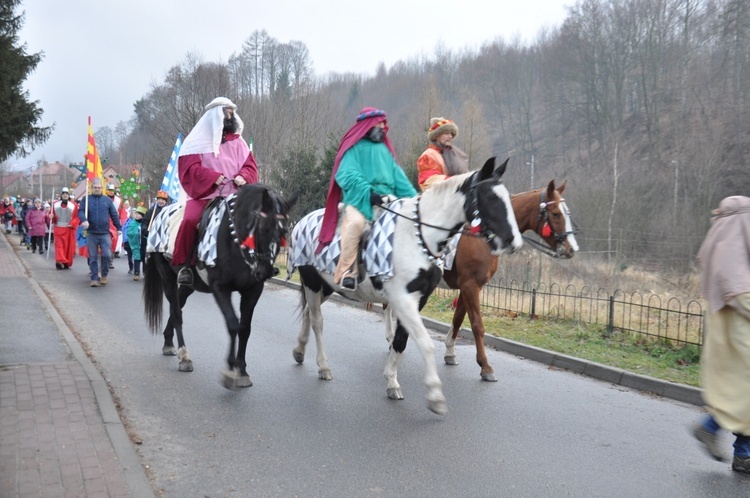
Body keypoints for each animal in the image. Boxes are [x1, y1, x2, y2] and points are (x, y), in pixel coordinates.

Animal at [142, 184, 296, 390]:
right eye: (263, 228)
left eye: (284, 232)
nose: (265, 271)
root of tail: (160, 214)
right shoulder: (220, 288)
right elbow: (233, 324)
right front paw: (230, 369)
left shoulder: (253, 291)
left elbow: (245, 328)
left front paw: (242, 370)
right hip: (167, 276)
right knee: (176, 312)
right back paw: (184, 356)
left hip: (190, 285)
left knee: (179, 306)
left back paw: (168, 341)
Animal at [288, 158, 524, 414]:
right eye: (491, 197)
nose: (514, 241)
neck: (418, 236)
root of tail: (302, 221)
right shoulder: (406, 299)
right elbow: (426, 343)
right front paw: (435, 395)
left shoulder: (420, 298)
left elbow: (402, 340)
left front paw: (392, 381)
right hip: (313, 283)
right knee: (318, 322)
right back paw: (323, 366)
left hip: (326, 286)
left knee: (309, 313)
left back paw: (300, 350)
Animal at [444, 181, 580, 380]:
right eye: (556, 213)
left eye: (567, 212)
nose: (572, 248)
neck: (483, 235)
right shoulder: (470, 286)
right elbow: (477, 325)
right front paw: (485, 366)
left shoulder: (468, 286)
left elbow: (458, 318)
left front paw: (450, 352)